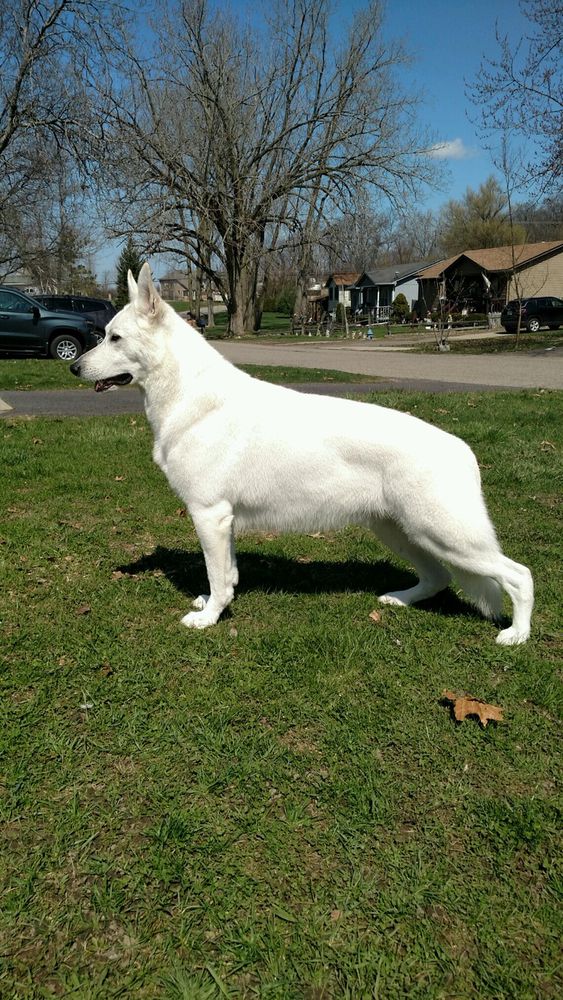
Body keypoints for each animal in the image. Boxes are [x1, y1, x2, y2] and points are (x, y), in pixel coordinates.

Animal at [72, 262, 536, 644]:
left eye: (115, 338)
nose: (74, 367)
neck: (189, 396)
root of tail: (462, 449)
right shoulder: (224, 522)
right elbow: (229, 573)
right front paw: (216, 603)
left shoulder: (209, 515)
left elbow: (218, 576)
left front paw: (210, 618)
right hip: (402, 532)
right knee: (439, 577)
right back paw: (401, 600)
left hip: (444, 534)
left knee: (520, 575)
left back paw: (517, 634)